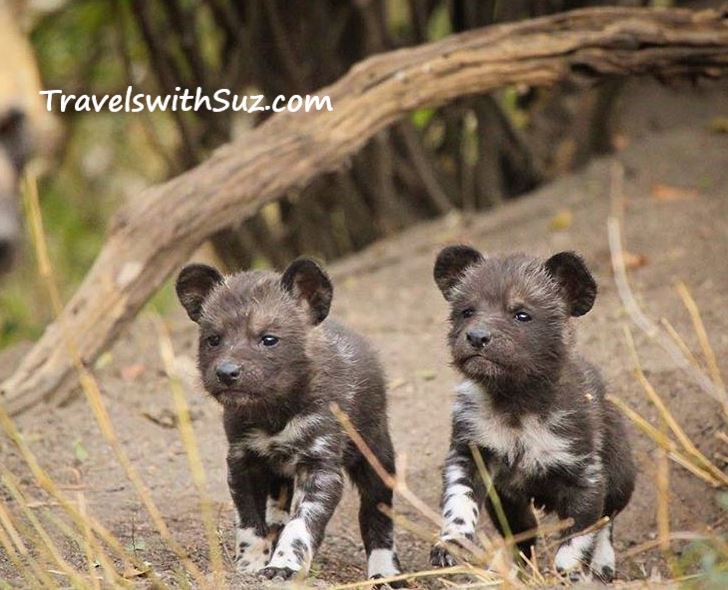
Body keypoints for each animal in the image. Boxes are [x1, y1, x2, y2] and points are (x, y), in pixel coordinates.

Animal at [176, 260, 404, 584]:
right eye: (213, 340)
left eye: (269, 339)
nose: (227, 372)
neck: (275, 413)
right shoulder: (244, 462)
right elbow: (250, 523)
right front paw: (250, 564)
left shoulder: (321, 469)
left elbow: (301, 527)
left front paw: (285, 565)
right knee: (276, 513)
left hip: (375, 457)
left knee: (376, 516)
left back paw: (384, 572)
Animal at [430, 245, 636, 584]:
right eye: (467, 311)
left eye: (522, 315)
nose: (477, 337)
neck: (517, 406)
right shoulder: (469, 455)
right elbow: (459, 504)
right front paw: (452, 543)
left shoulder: (586, 478)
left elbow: (577, 540)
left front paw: (567, 575)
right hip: (508, 500)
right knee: (523, 534)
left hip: (620, 476)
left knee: (608, 520)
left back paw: (603, 566)